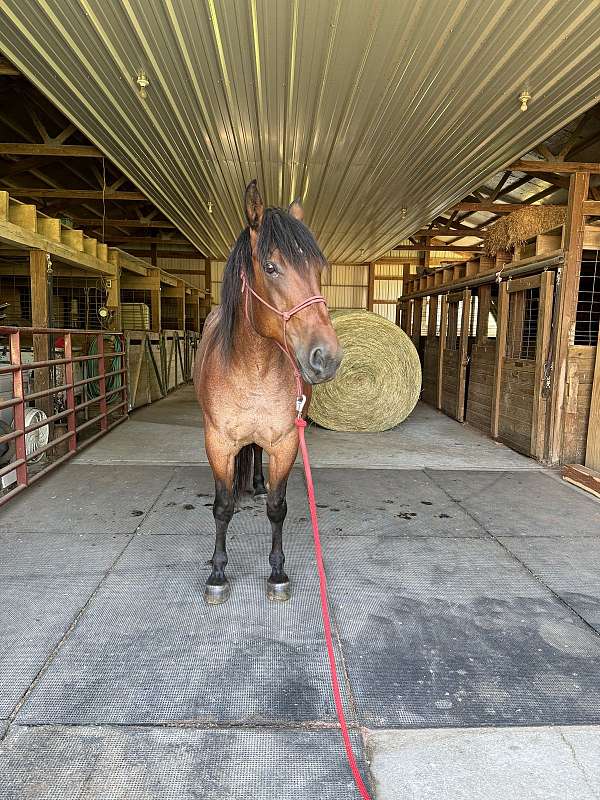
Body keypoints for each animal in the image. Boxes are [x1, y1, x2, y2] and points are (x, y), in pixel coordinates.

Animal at [195, 181, 340, 604]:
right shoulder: (218, 442)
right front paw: (217, 575)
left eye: (318, 270)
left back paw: (256, 485)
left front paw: (277, 573)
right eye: (271, 267)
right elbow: (222, 507)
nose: (327, 357)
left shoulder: (286, 441)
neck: (253, 369)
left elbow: (278, 508)